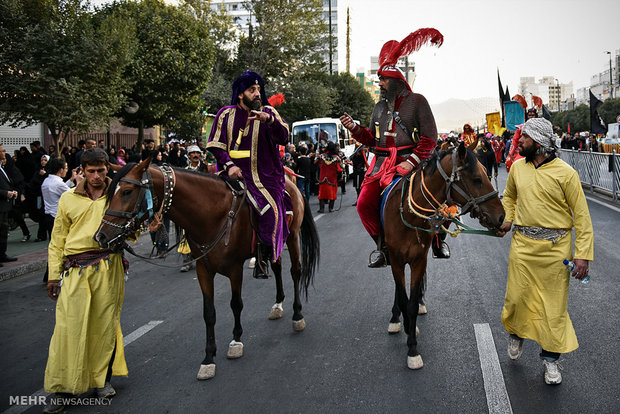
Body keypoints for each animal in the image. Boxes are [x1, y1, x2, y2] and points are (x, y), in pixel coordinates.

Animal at [95, 158, 324, 378]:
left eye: (127, 191)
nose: (101, 236)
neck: (212, 215)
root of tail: (291, 184)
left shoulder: (234, 269)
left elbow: (236, 304)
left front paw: (236, 341)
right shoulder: (203, 270)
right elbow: (208, 312)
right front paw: (208, 358)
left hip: (292, 237)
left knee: (295, 271)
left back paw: (297, 315)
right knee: (277, 267)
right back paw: (277, 305)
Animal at [382, 142, 504, 368]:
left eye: (486, 172)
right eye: (477, 179)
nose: (501, 216)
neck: (409, 215)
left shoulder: (418, 260)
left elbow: (411, 304)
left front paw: (412, 344)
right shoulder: (395, 260)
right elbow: (403, 299)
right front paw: (408, 336)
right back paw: (395, 319)